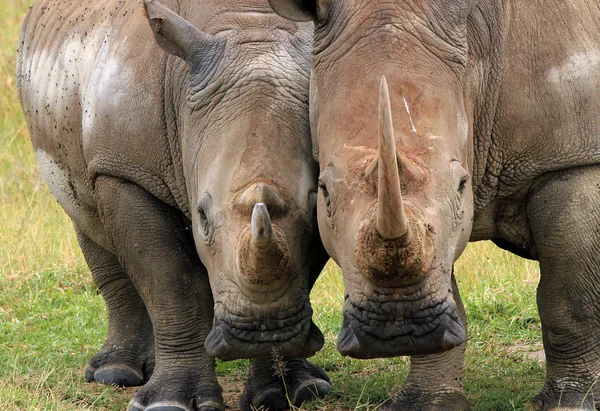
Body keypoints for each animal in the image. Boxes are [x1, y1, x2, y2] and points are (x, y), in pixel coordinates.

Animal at [17, 0, 332, 410]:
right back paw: (115, 374)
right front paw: (168, 403)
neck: (248, 23)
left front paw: (295, 391)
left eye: (313, 207)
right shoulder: (125, 169)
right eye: (201, 216)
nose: (260, 333)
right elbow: (171, 281)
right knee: (87, 222)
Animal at [270, 0, 600, 408]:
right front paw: (427, 401)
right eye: (325, 192)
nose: (396, 329)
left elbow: (568, 299)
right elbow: (446, 279)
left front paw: (569, 401)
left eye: (461, 185)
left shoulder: (570, 160)